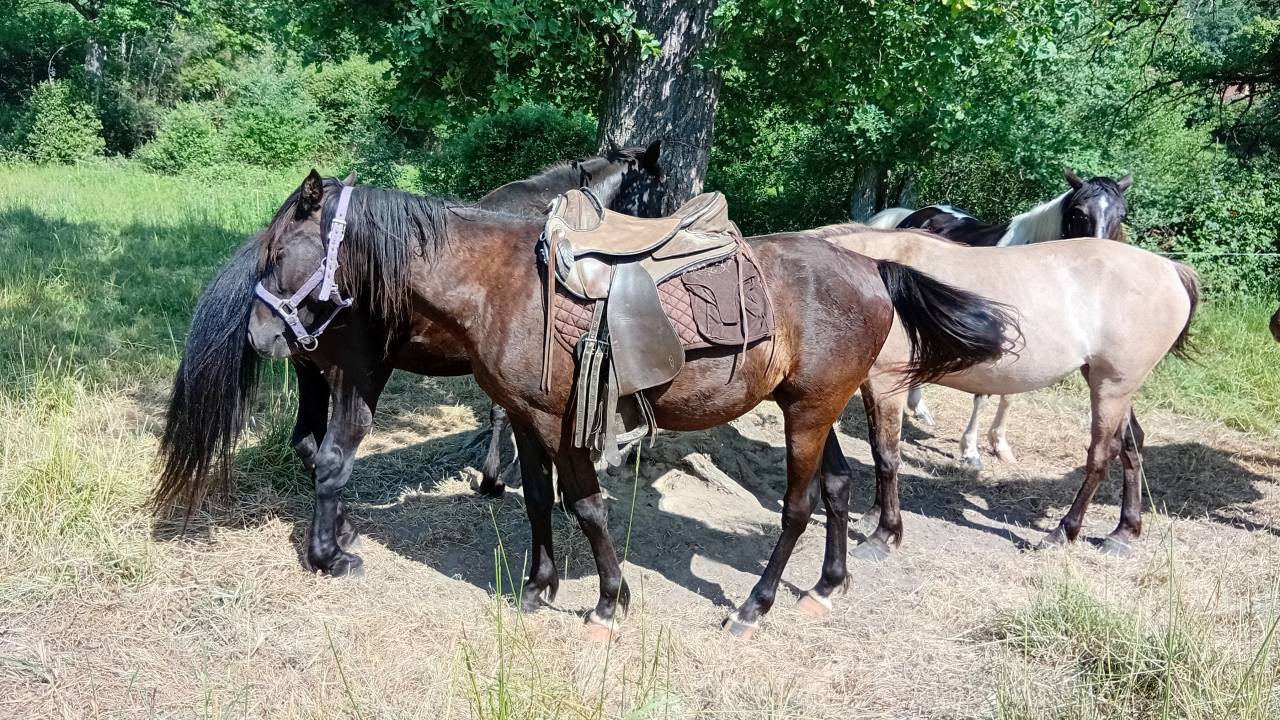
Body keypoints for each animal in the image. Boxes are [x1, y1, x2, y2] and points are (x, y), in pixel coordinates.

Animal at [155, 172, 1016, 638]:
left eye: (279, 248)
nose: (261, 333)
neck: (495, 282)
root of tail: (871, 266)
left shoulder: (560, 424)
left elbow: (588, 507)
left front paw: (608, 601)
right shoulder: (524, 419)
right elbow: (537, 501)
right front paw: (538, 587)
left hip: (808, 413)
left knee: (799, 507)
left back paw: (756, 604)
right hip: (811, 404)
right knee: (836, 488)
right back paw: (829, 585)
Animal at [812, 226, 1197, 560]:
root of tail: (1171, 269)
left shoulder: (887, 382)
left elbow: (887, 456)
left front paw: (884, 535)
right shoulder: (871, 385)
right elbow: (879, 449)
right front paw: (873, 515)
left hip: (1111, 386)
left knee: (1102, 456)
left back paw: (1063, 532)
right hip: (1111, 384)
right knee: (1132, 446)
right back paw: (1123, 532)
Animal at [867, 168, 1133, 468]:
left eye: (1122, 214)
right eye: (1079, 213)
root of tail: (915, 214)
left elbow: (1010, 395)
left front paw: (1000, 445)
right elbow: (983, 395)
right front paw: (971, 451)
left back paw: (919, 408)